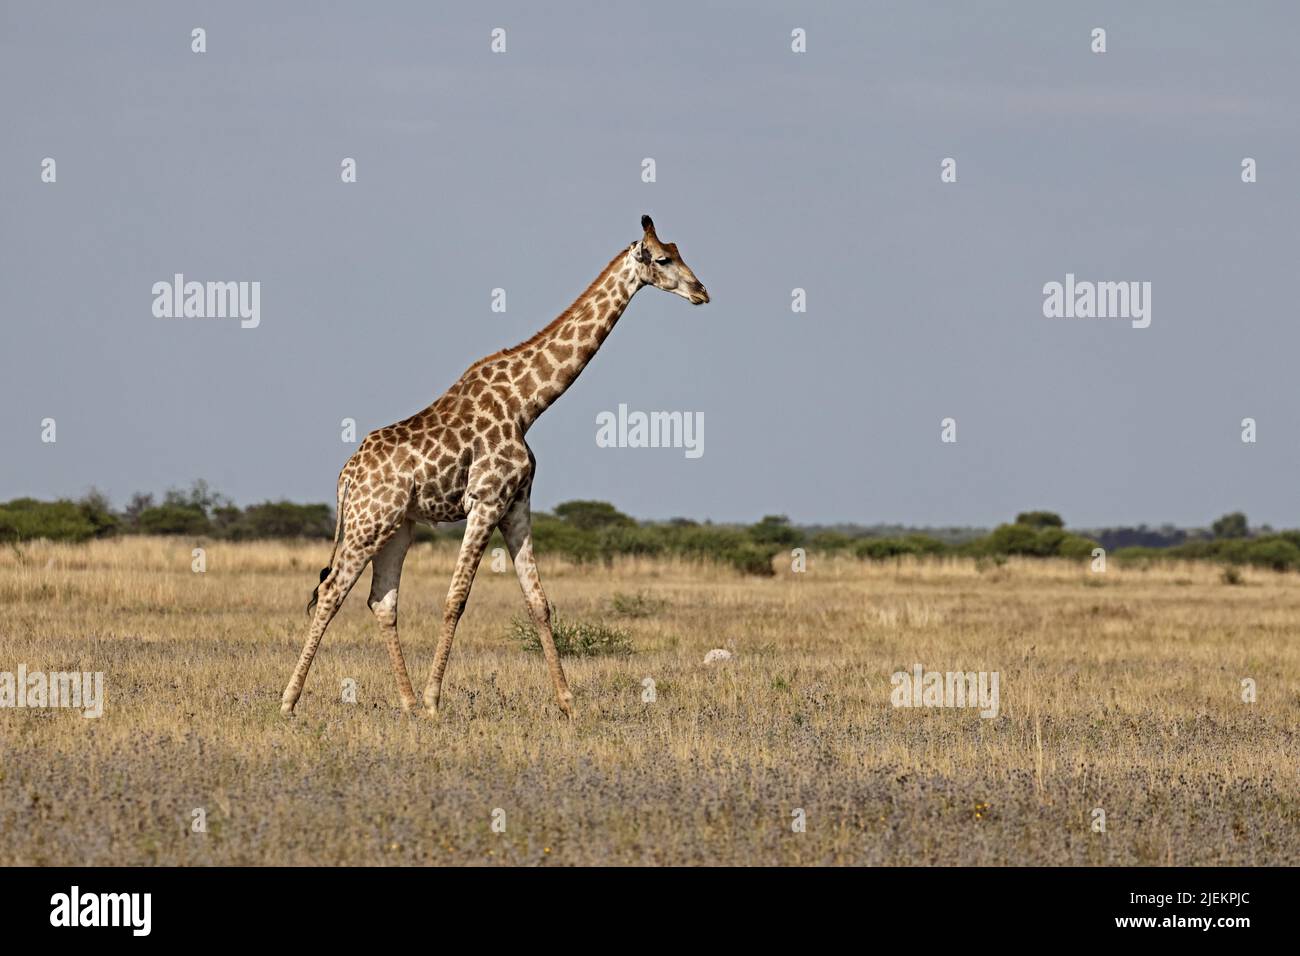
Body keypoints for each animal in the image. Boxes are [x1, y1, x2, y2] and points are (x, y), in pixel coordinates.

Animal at [280, 215, 709, 719]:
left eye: (679, 252)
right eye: (662, 259)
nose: (702, 291)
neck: (527, 404)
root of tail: (346, 477)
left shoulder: (516, 504)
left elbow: (538, 601)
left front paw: (568, 704)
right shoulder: (485, 501)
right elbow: (456, 599)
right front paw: (435, 702)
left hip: (398, 527)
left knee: (381, 600)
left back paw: (405, 702)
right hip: (369, 522)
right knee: (331, 592)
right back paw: (290, 701)